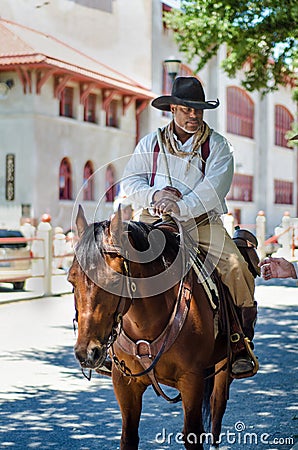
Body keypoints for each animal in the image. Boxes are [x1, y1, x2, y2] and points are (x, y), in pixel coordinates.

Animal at [68, 206, 232, 448]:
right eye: (71, 281)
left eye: (114, 281)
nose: (87, 352)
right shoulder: (124, 383)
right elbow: (128, 436)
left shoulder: (192, 380)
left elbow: (193, 434)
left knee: (217, 405)